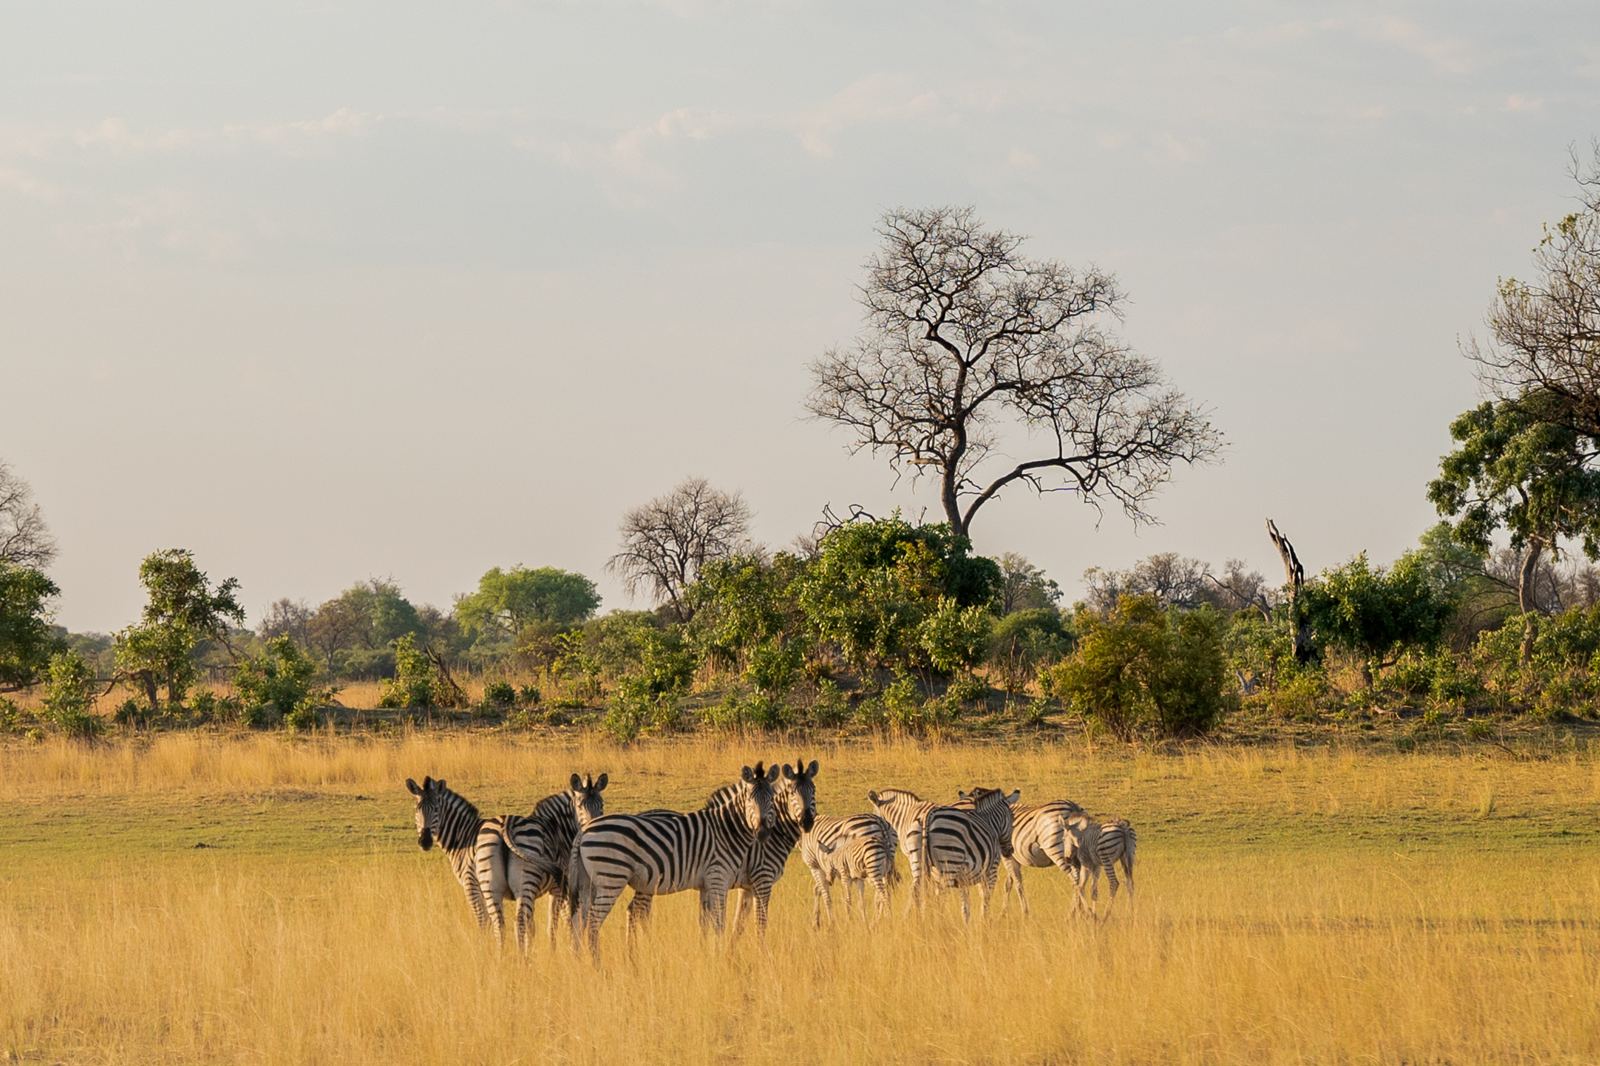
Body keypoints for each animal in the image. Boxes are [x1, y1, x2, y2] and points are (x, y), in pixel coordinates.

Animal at [405, 773, 605, 951]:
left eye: (436, 808)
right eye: (417, 809)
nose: (425, 841)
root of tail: (505, 823)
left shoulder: (471, 884)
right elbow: (549, 924)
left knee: (506, 922)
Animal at [567, 762, 780, 959]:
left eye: (771, 799)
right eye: (750, 799)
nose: (762, 833)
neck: (727, 829)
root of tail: (584, 830)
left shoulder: (706, 885)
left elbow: (705, 922)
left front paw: (705, 954)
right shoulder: (719, 878)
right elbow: (720, 923)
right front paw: (719, 956)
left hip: (588, 883)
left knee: (579, 921)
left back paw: (580, 961)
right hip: (611, 878)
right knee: (593, 922)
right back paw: (597, 965)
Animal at [728, 756, 819, 938]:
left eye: (813, 791)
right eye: (792, 793)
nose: (806, 822)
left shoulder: (747, 886)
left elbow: (738, 925)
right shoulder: (763, 879)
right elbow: (760, 925)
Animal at [917, 786, 1019, 922]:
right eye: (1012, 818)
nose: (1010, 851)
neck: (989, 821)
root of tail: (930, 815)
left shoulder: (964, 879)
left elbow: (966, 906)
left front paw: (968, 923)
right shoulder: (991, 871)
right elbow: (986, 898)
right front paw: (985, 921)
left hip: (925, 868)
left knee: (925, 899)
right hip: (949, 865)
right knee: (940, 901)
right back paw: (941, 924)